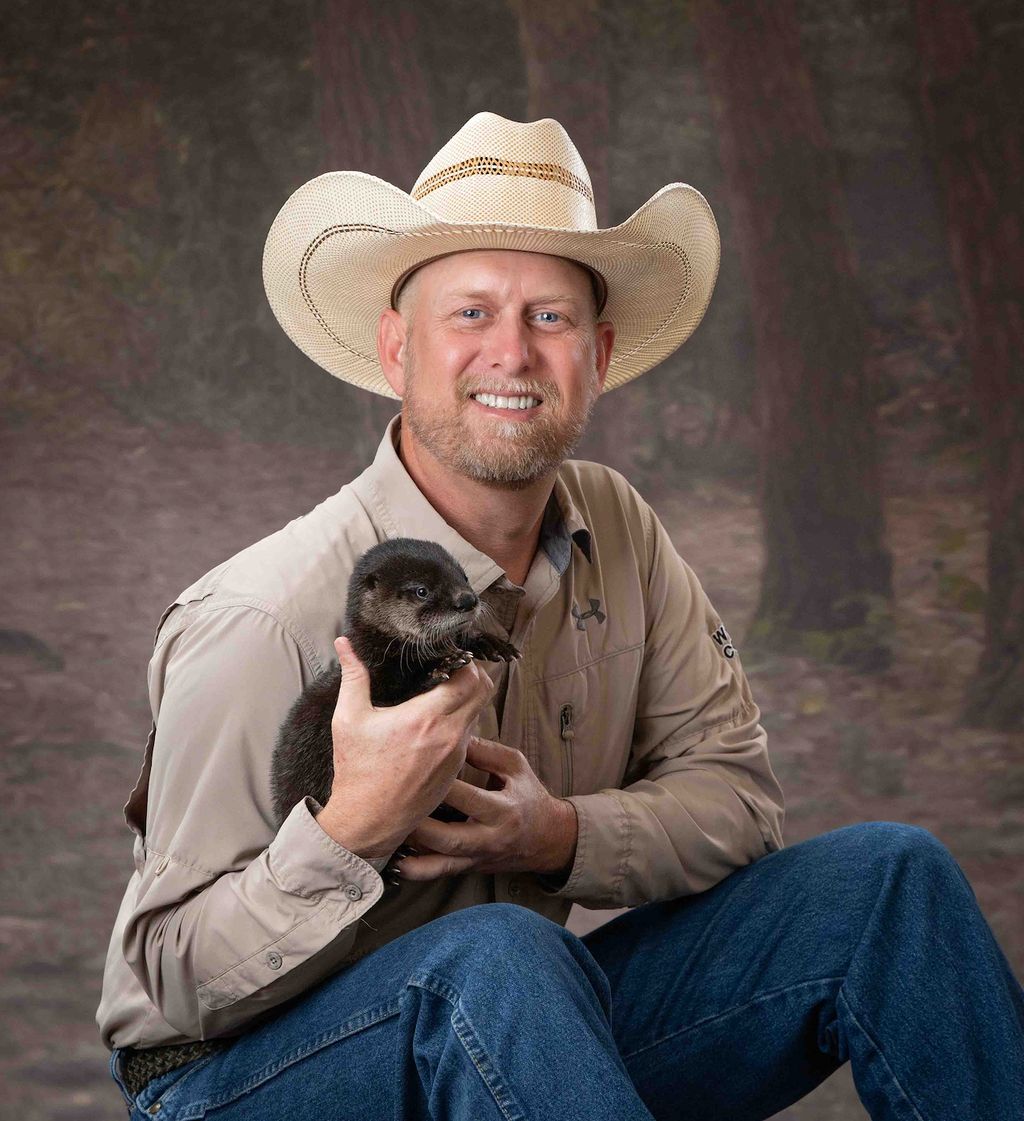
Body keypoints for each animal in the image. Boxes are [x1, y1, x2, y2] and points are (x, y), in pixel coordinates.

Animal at [268, 538, 520, 829]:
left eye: (464, 577)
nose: (467, 599)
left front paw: (492, 644)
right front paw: (441, 666)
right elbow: (400, 691)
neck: (388, 650)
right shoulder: (377, 679)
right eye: (422, 591)